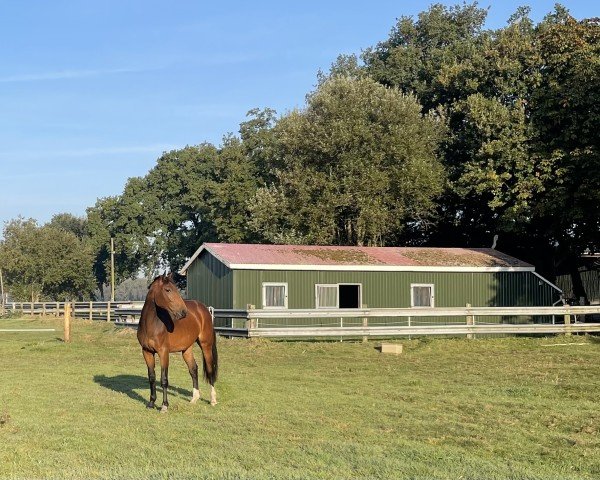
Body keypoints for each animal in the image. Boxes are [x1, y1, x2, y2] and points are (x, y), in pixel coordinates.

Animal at [137, 274, 218, 412]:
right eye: (168, 290)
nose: (184, 312)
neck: (152, 324)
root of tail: (203, 308)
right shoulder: (147, 352)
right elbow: (152, 377)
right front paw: (151, 403)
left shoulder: (163, 353)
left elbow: (164, 379)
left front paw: (164, 406)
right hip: (186, 349)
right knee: (193, 369)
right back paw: (194, 399)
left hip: (205, 345)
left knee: (209, 370)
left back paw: (213, 400)